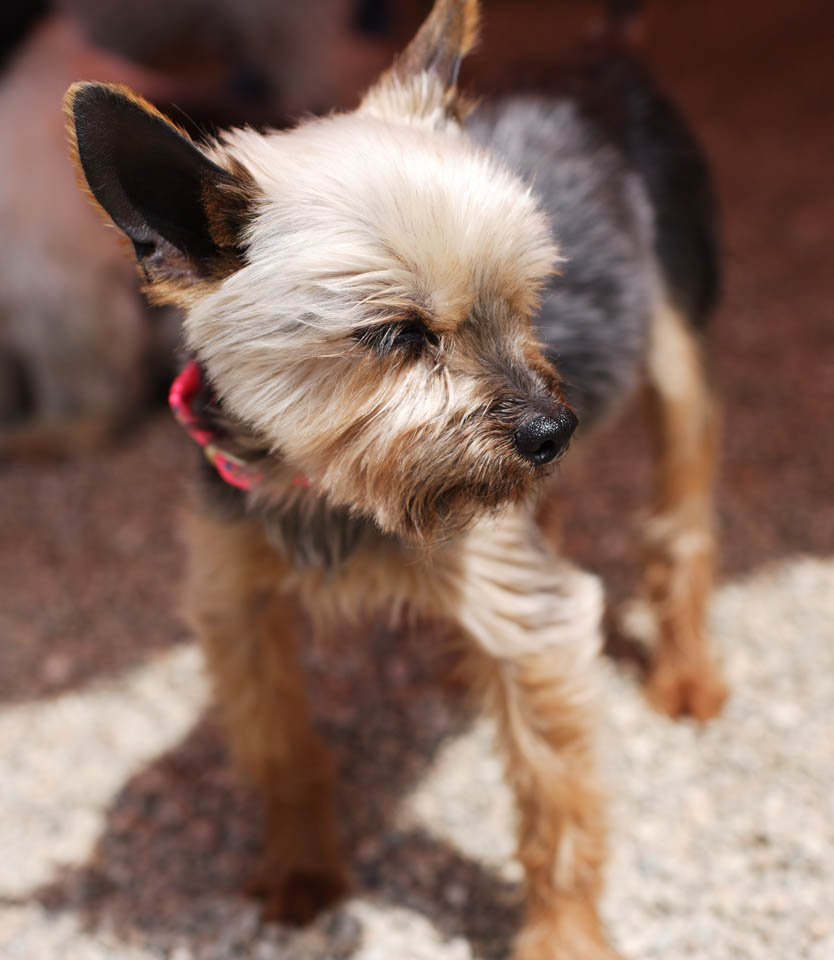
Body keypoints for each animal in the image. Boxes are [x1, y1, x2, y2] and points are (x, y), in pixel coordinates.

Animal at [68, 0, 724, 956]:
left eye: (527, 299)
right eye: (397, 335)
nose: (553, 431)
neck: (328, 488)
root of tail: (600, 54)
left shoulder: (534, 624)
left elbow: (553, 798)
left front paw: (563, 934)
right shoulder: (234, 602)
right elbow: (279, 748)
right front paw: (302, 872)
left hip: (674, 343)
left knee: (682, 515)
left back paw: (687, 674)